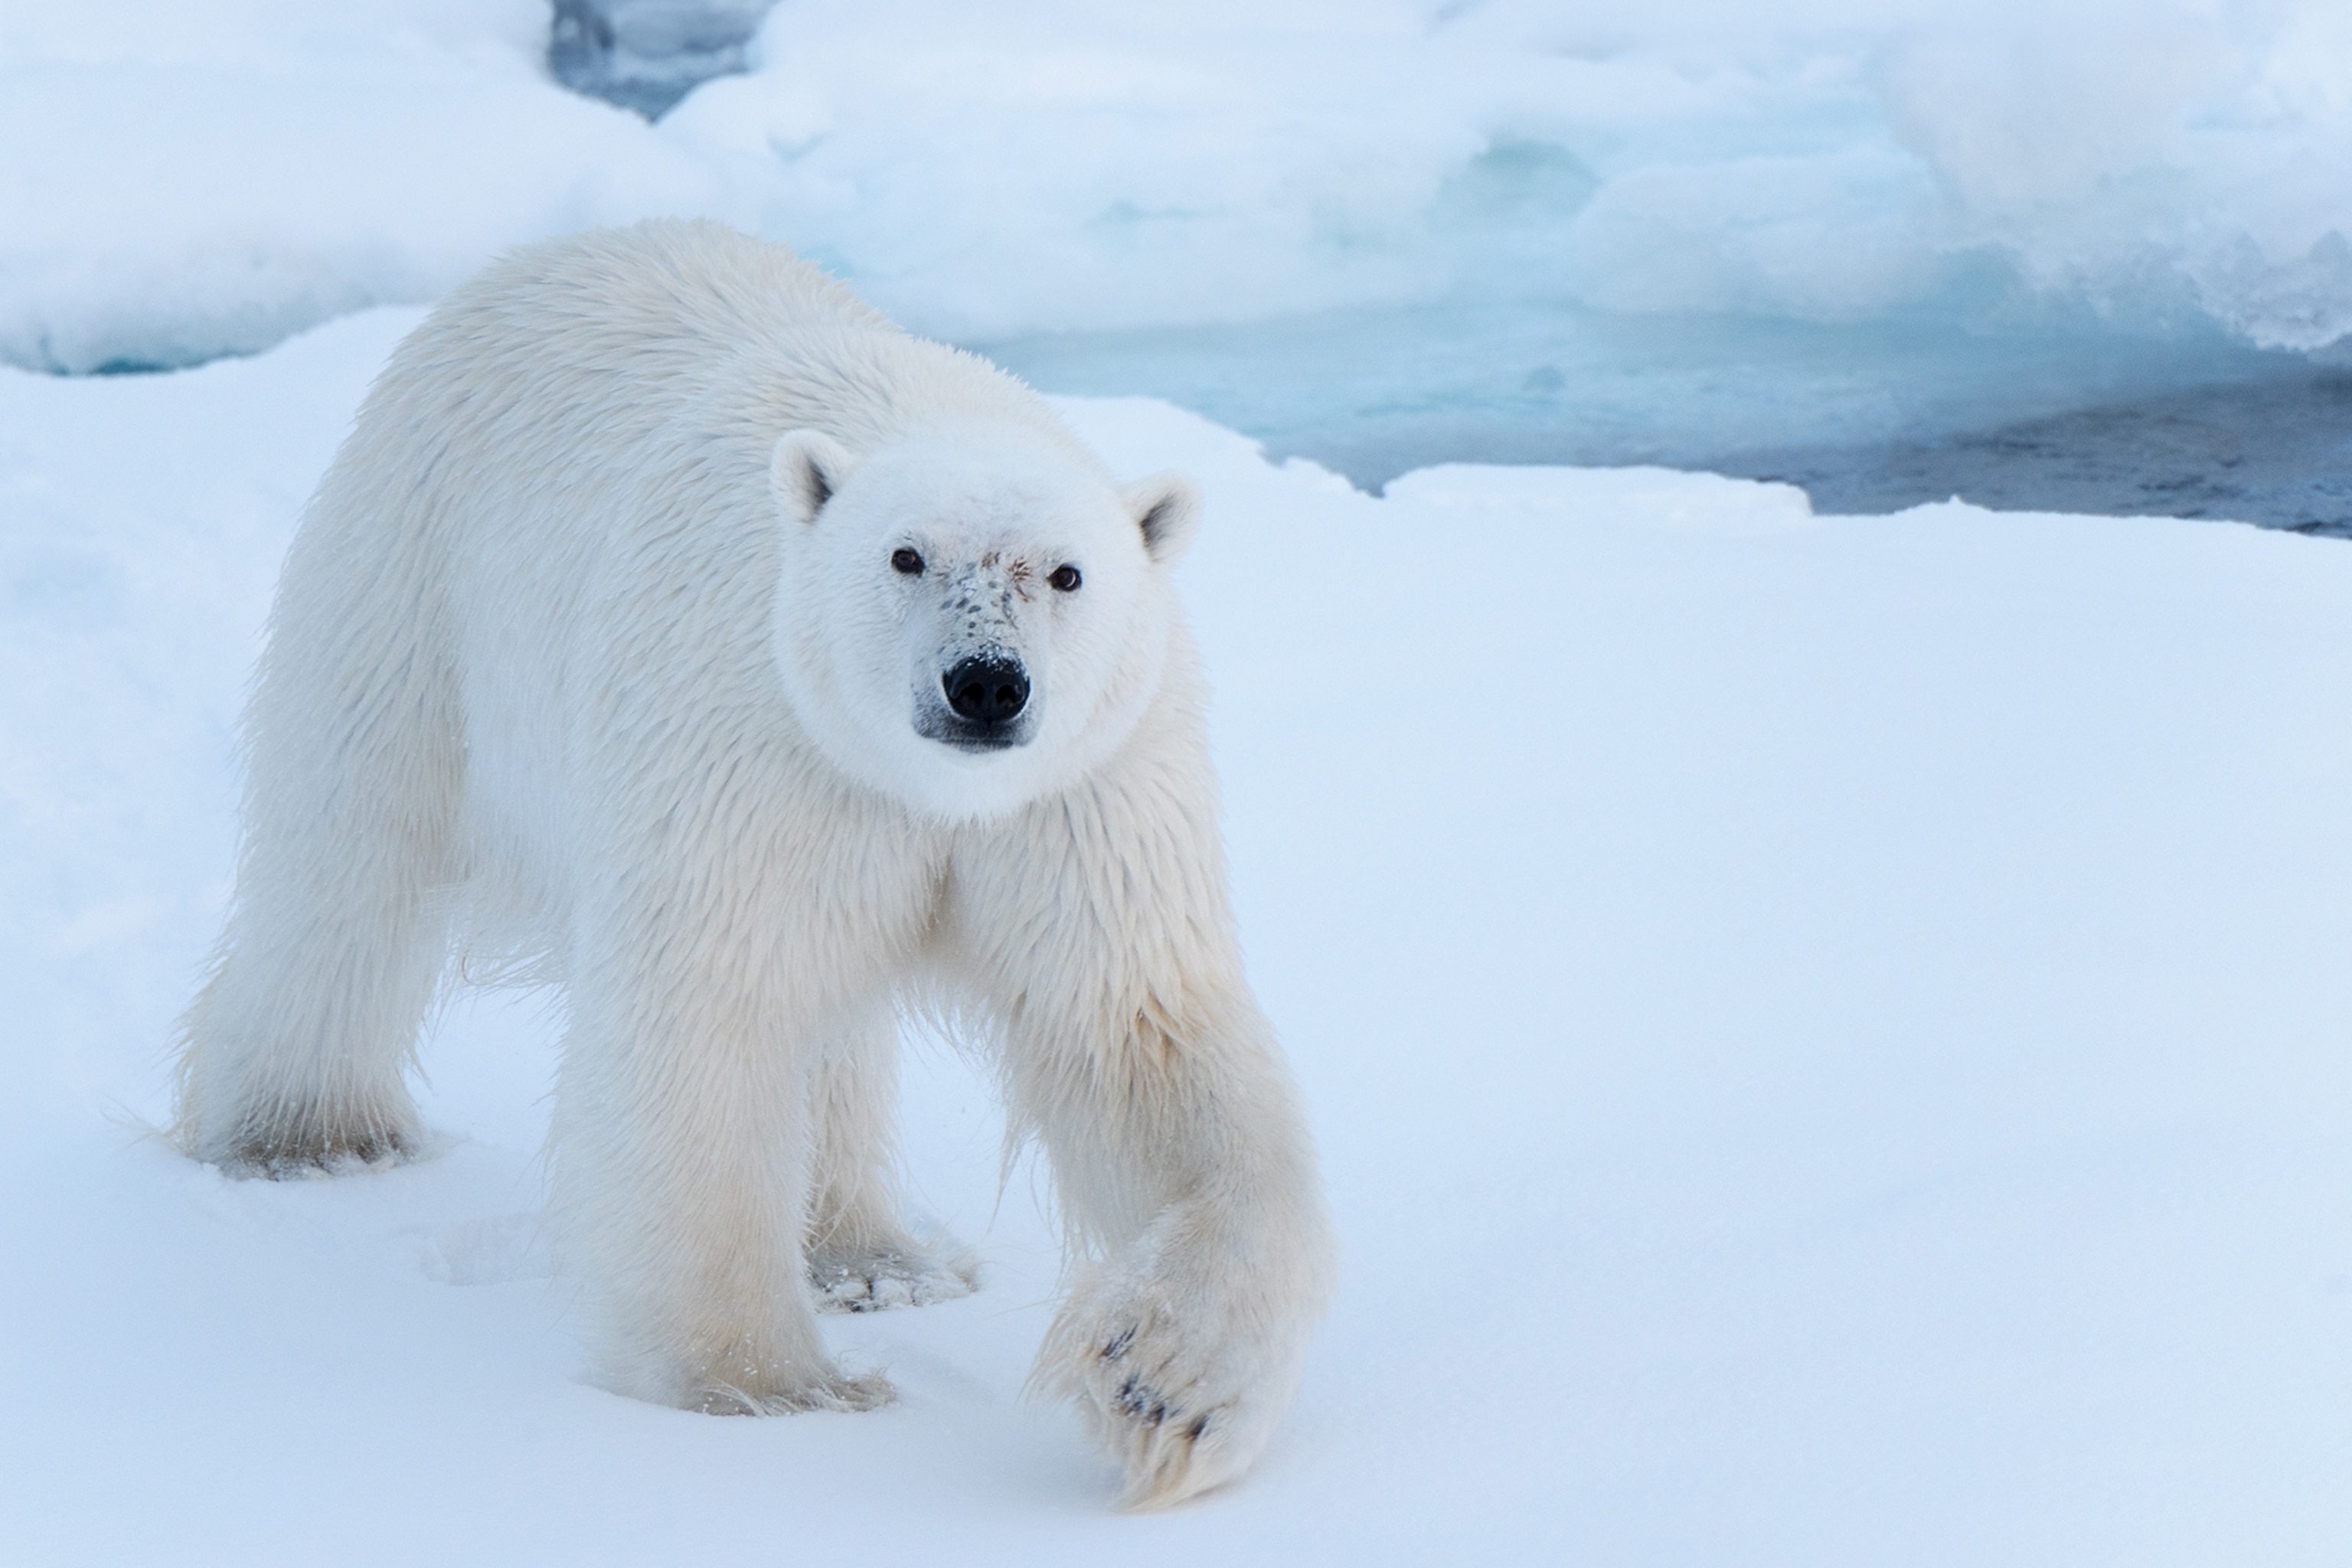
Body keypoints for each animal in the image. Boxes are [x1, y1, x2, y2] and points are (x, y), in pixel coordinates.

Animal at [173, 219, 1335, 1510]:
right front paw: (767, 1390)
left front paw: (1167, 1385)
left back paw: (876, 1258)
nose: (985, 685)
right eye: (904, 555)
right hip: (417, 573)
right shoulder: (758, 748)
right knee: (351, 851)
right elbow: (710, 1022)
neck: (923, 789)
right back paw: (306, 1135)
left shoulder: (1079, 798)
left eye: (1066, 573)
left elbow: (1138, 1035)